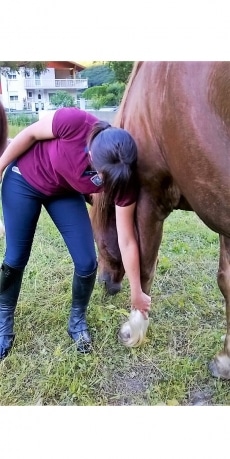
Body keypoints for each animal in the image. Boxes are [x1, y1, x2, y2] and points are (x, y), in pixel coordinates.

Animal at [90, 63, 230, 380]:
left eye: (97, 239)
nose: (105, 284)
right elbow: (226, 281)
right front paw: (226, 358)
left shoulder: (149, 197)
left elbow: (143, 266)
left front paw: (134, 327)